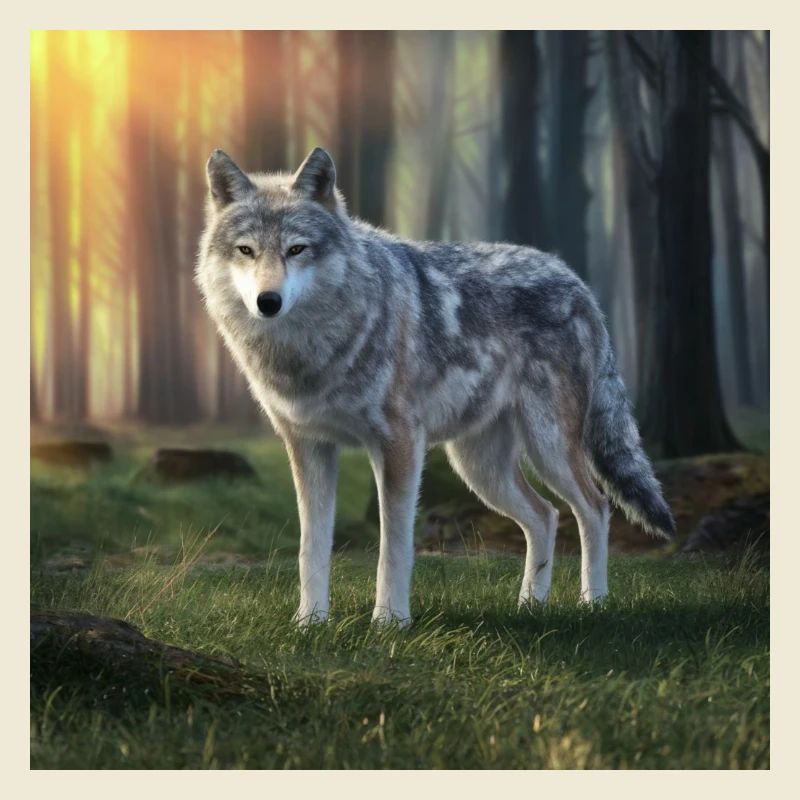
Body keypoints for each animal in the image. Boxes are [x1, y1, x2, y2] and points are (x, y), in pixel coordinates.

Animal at [195, 147, 675, 626]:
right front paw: (309, 623)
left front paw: (389, 623)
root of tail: (577, 282)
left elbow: (393, 549)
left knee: (594, 507)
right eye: (246, 251)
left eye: (297, 249)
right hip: (480, 468)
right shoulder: (308, 446)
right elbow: (309, 549)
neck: (310, 351)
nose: (268, 302)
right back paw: (529, 607)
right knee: (546, 516)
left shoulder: (398, 444)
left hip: (549, 448)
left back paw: (593, 603)